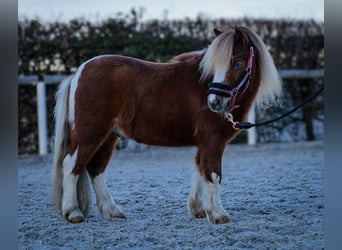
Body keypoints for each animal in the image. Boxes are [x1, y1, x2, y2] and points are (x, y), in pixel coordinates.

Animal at [52, 25, 282, 225]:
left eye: (237, 63)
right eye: (216, 66)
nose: (214, 102)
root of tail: (79, 72)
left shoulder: (204, 143)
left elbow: (200, 169)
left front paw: (198, 209)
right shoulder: (213, 141)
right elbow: (213, 173)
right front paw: (218, 214)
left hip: (108, 137)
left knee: (96, 169)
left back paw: (112, 210)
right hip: (89, 134)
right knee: (71, 165)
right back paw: (73, 212)